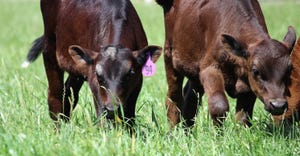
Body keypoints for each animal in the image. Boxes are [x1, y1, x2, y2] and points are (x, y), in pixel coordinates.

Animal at [24, 0, 162, 124]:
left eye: (131, 73)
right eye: (98, 75)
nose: (112, 109)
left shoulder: (137, 81)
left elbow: (129, 116)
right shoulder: (94, 81)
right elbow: (102, 114)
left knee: (69, 93)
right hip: (49, 46)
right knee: (55, 96)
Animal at [156, 0, 296, 127]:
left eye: (289, 70)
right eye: (256, 70)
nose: (278, 105)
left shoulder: (249, 82)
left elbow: (243, 115)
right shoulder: (210, 68)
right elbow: (219, 105)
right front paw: (218, 136)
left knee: (191, 98)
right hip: (169, 54)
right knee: (173, 99)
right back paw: (172, 132)